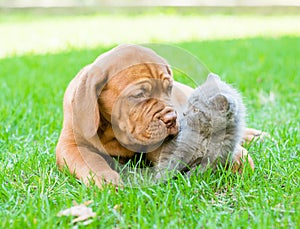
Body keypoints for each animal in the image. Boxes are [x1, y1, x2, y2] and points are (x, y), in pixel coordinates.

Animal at [55, 43, 260, 187]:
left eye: (169, 87)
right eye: (139, 94)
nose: (172, 119)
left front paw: (237, 158)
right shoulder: (70, 145)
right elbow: (91, 160)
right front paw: (105, 178)